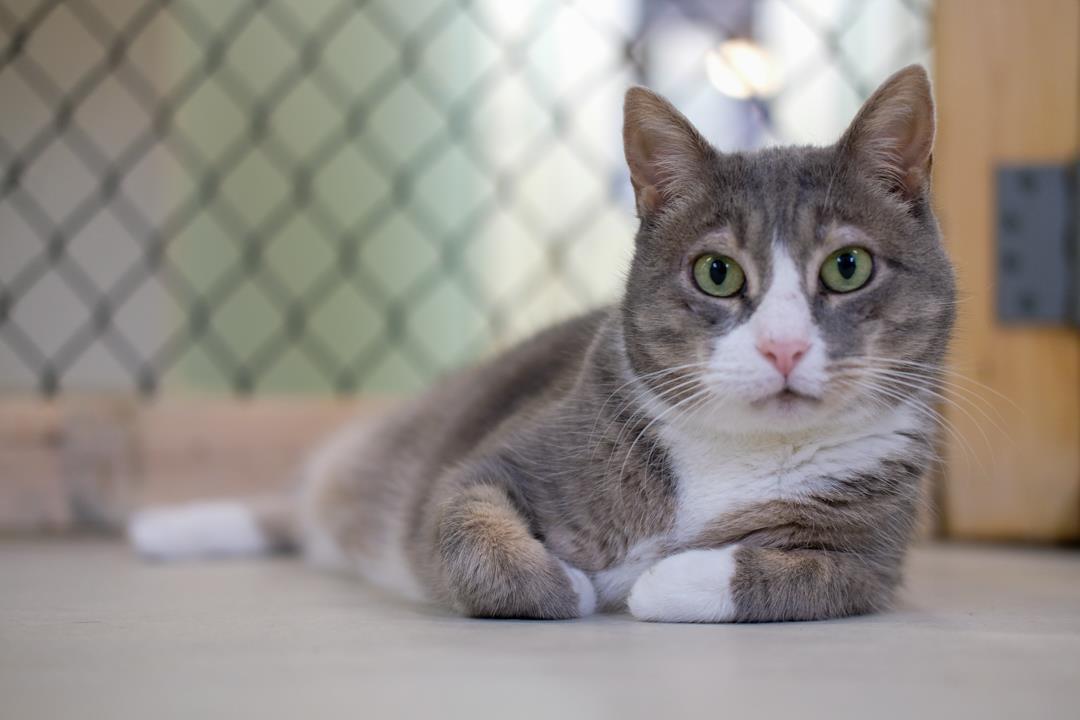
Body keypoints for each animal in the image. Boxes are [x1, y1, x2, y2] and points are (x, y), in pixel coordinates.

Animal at [132, 64, 954, 621]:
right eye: (717, 273)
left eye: (847, 267)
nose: (783, 347)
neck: (733, 456)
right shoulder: (486, 463)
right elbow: (464, 528)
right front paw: (570, 585)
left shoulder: (874, 559)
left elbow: (798, 574)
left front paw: (664, 579)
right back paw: (165, 527)